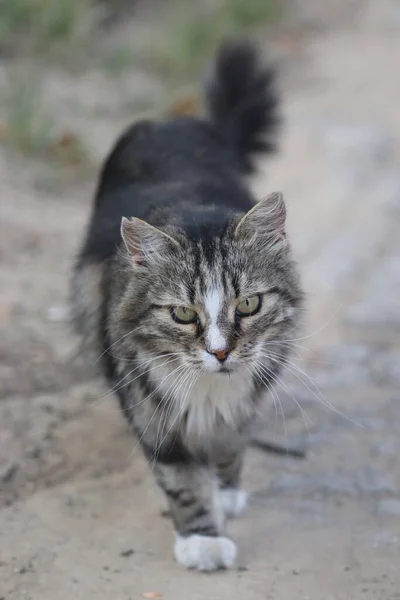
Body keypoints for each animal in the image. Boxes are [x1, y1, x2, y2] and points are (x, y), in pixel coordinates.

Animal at [71, 39, 304, 568]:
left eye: (248, 305)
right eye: (182, 314)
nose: (220, 352)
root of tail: (173, 121)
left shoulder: (252, 386)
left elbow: (231, 440)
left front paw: (225, 491)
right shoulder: (147, 399)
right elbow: (180, 475)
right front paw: (202, 537)